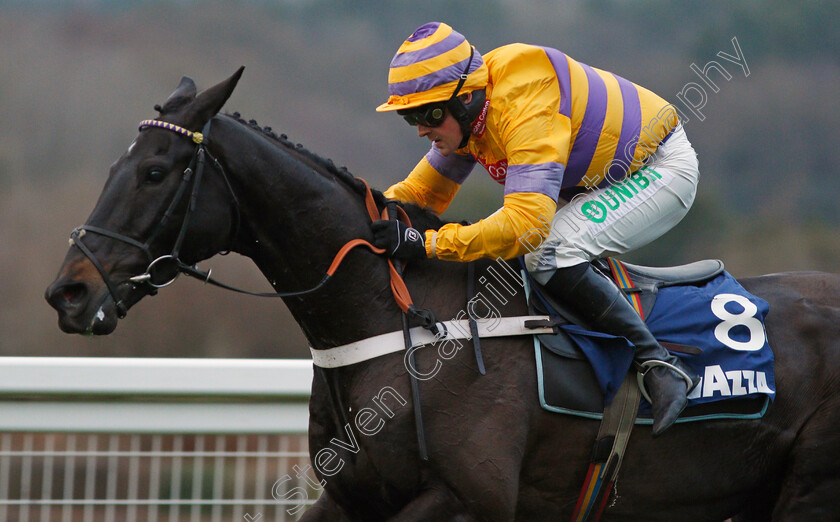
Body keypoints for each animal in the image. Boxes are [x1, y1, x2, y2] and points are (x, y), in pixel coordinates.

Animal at [44, 70, 840, 520]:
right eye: (118, 166)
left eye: (155, 172)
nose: (69, 291)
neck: (395, 318)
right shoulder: (351, 494)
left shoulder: (469, 500)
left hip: (810, 488)